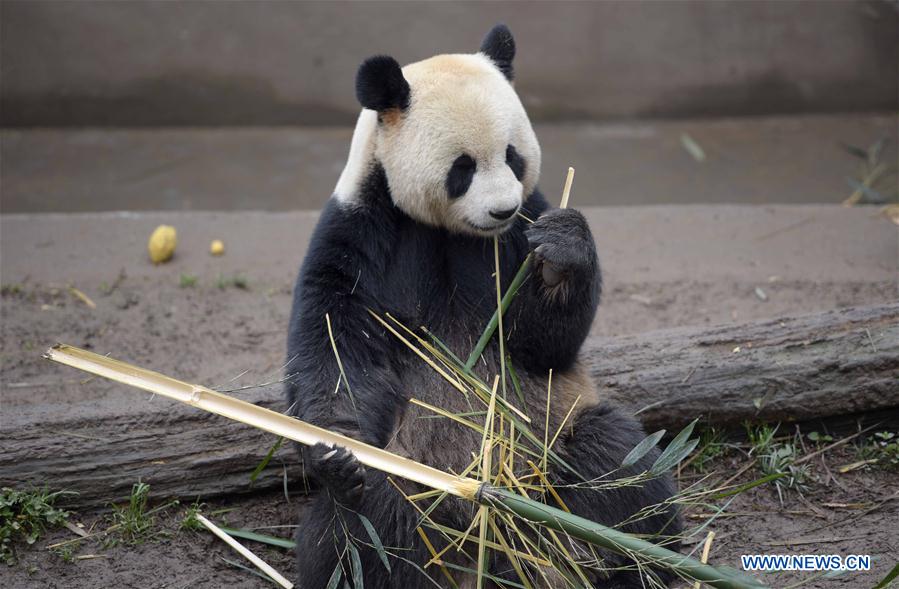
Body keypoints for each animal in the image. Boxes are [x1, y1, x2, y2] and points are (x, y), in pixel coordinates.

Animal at [285, 25, 681, 589]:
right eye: (463, 168)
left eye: (513, 156)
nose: (502, 209)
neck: (453, 233)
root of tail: (482, 519)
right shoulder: (361, 229)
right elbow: (335, 337)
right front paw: (336, 448)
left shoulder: (519, 231)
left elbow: (542, 344)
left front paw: (560, 254)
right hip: (408, 475)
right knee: (356, 534)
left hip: (552, 440)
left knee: (618, 466)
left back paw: (624, 557)